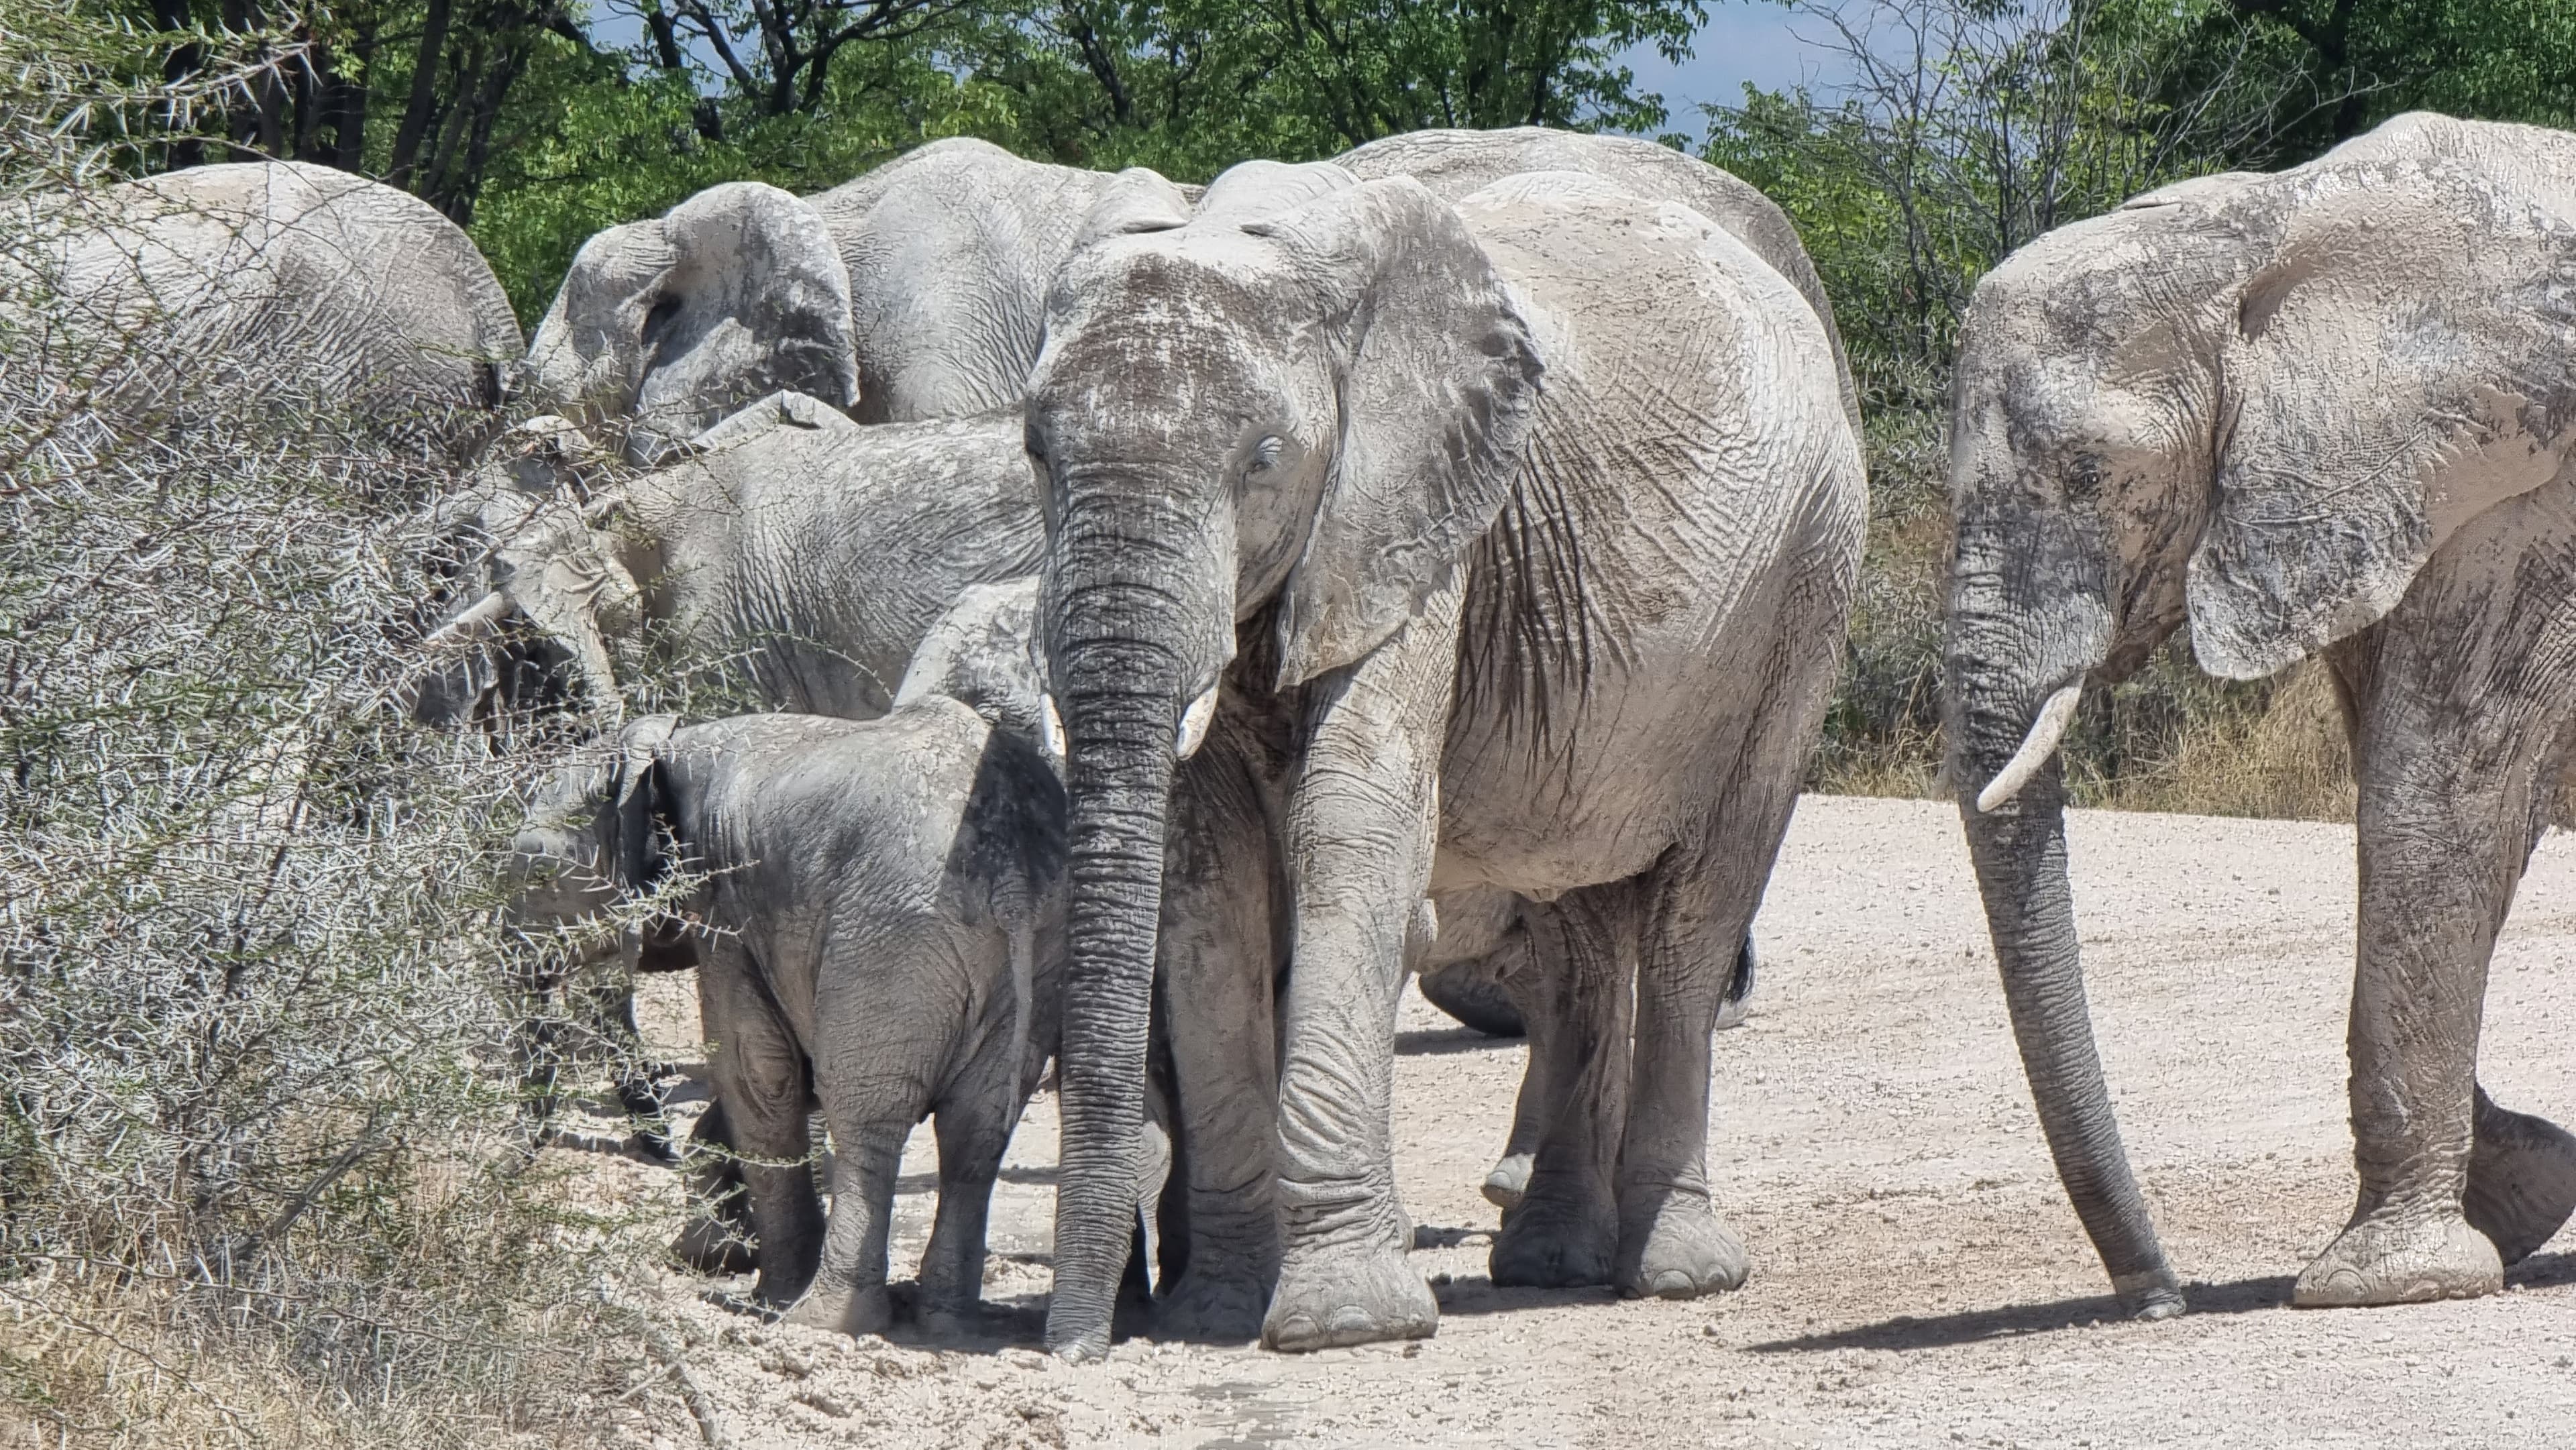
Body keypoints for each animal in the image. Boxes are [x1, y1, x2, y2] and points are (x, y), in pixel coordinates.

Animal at [596, 580, 1066, 1335]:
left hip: (894, 935)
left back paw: (820, 1319)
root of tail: (1014, 872)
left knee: (868, 1113)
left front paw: (755, 1286)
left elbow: (758, 1070)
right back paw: (945, 1320)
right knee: (977, 1128)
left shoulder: (726, 896)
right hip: (1031, 950)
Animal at [1023, 155, 1865, 1357]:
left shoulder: (1418, 516)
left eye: (1264, 460)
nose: (1081, 1343)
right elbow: (1208, 860)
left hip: (1806, 588)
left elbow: (1354, 814)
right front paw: (1217, 1311)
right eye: (1035, 451)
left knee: (1698, 911)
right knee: (1579, 921)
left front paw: (1342, 1325)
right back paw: (1550, 1265)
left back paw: (1678, 1273)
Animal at [1946, 111, 2576, 1319]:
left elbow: (2432, 800)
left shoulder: (2530, 504)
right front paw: (2522, 1191)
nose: (2159, 1299)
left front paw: (2387, 1282)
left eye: (2091, 472)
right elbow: (2450, 817)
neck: (2257, 224)